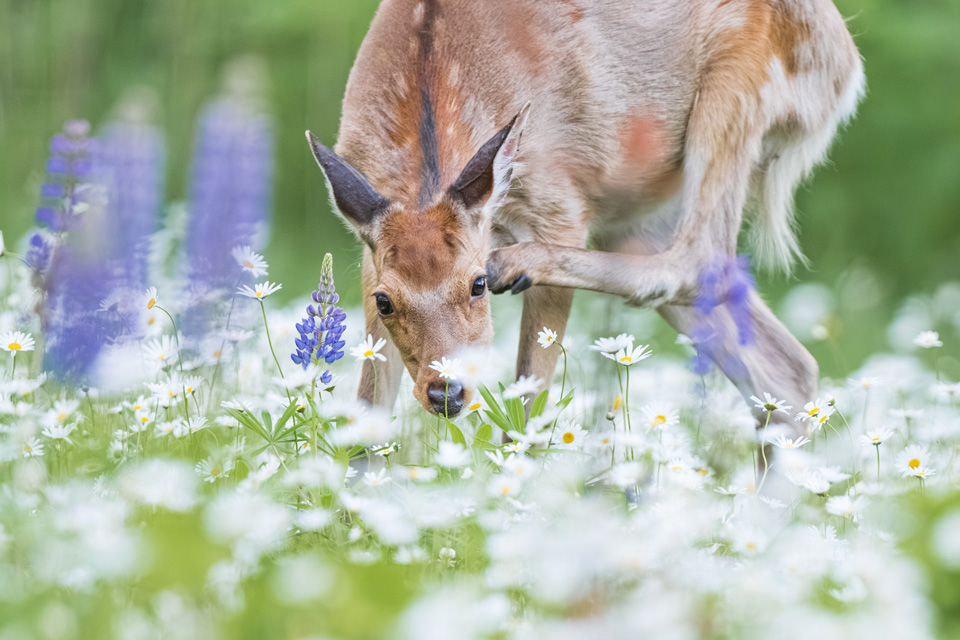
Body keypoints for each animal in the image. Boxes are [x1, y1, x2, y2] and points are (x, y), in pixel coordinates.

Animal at [306, 0, 864, 430]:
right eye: (384, 301)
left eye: (476, 284)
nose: (447, 392)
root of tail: (849, 67)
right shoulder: (368, 259)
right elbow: (366, 420)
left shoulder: (560, 207)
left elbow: (527, 411)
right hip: (640, 218)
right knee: (783, 364)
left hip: (735, 88)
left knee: (699, 257)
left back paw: (518, 262)